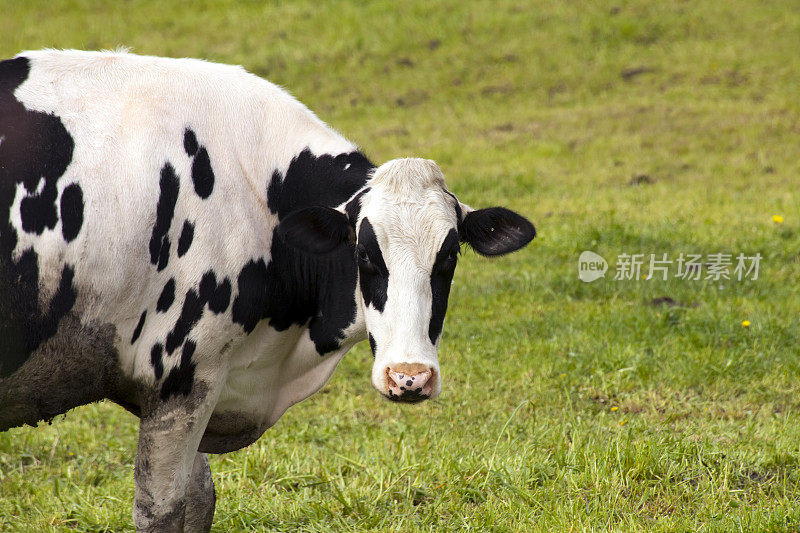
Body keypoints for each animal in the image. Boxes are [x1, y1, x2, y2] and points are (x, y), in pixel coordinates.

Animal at [0, 48, 536, 528]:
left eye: (449, 256)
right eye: (364, 254)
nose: (409, 377)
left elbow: (200, 499)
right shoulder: (180, 377)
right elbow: (163, 510)